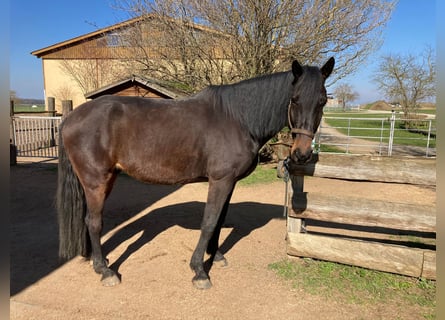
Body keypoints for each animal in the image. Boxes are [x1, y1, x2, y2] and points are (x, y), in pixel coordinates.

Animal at [55, 57, 332, 290]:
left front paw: (216, 256)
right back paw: (105, 271)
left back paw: (94, 259)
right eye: (295, 99)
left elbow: (220, 220)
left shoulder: (229, 182)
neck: (237, 119)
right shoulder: (219, 181)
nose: (302, 154)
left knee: (88, 220)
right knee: (94, 222)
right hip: (96, 181)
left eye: (322, 101)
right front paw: (199, 271)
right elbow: (209, 221)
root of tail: (70, 117)